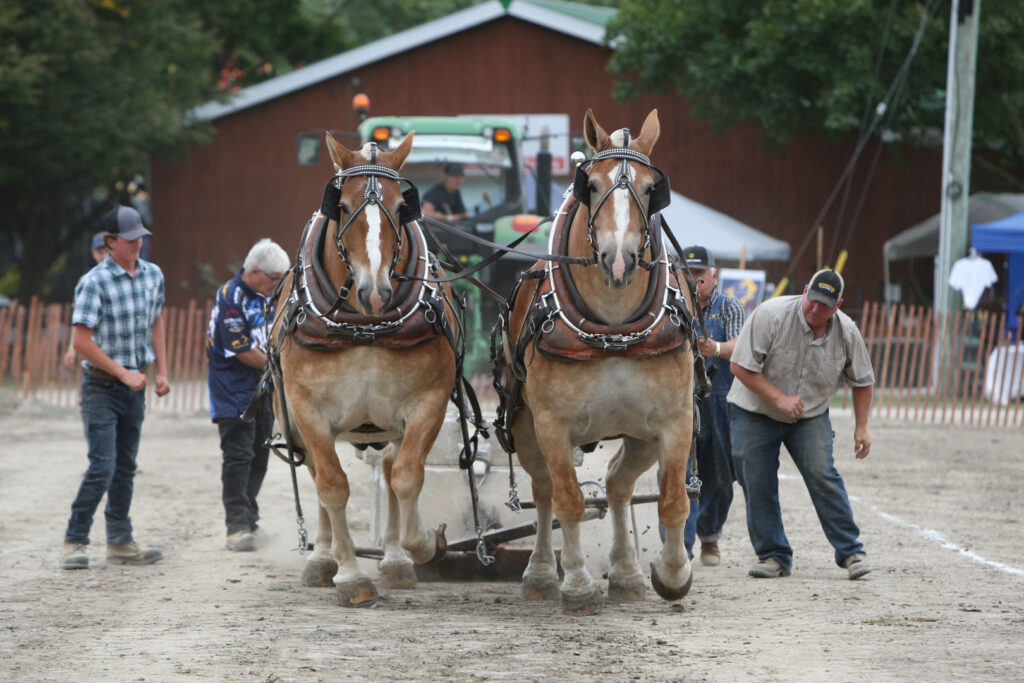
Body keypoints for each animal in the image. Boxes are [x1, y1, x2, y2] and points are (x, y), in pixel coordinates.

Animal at [272, 131, 464, 606]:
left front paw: (422, 546)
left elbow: (407, 476)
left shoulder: (428, 402)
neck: (365, 326)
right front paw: (349, 574)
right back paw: (322, 559)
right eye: (341, 206)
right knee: (318, 476)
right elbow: (332, 485)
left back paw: (394, 559)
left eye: (400, 206)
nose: (375, 292)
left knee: (392, 466)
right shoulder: (308, 410)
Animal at [491, 109, 700, 618]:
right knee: (545, 490)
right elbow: (567, 501)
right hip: (527, 429)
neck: (614, 332)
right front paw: (578, 585)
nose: (618, 260)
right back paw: (542, 574)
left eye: (651, 187)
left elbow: (672, 501)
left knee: (618, 484)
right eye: (593, 185)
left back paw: (626, 572)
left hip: (639, 432)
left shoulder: (675, 419)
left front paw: (673, 575)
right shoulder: (551, 423)